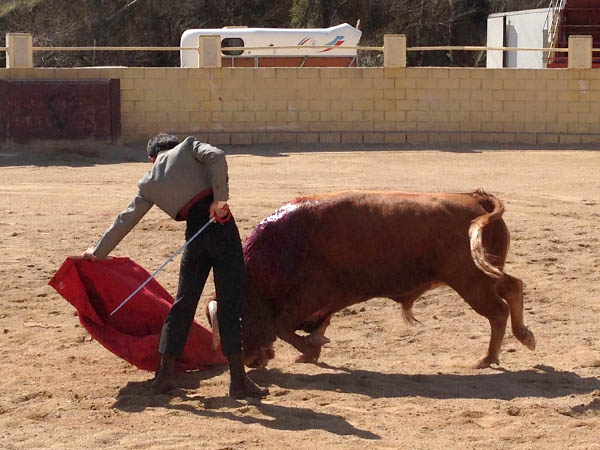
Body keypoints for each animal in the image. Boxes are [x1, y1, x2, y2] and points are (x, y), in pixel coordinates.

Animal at [209, 190, 536, 370]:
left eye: (236, 321)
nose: (249, 360)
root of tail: (476, 200)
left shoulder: (310, 297)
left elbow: (283, 327)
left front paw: (310, 350)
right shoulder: (322, 304)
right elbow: (312, 326)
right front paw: (311, 351)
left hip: (470, 280)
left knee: (498, 311)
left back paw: (488, 358)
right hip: (484, 273)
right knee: (513, 286)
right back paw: (524, 336)